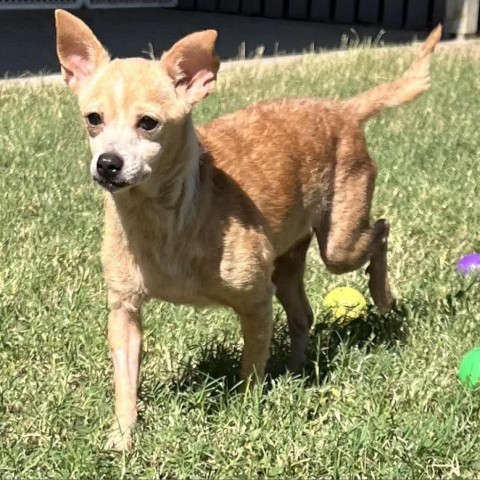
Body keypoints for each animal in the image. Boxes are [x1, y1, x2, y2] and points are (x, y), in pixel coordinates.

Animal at [54, 8, 440, 450]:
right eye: (93, 120)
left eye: (148, 124)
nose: (107, 163)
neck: (164, 215)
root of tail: (343, 109)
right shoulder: (124, 312)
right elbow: (125, 381)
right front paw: (122, 435)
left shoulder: (256, 302)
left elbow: (251, 367)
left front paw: (247, 412)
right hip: (288, 263)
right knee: (303, 314)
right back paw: (296, 369)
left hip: (340, 245)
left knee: (381, 230)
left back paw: (381, 294)